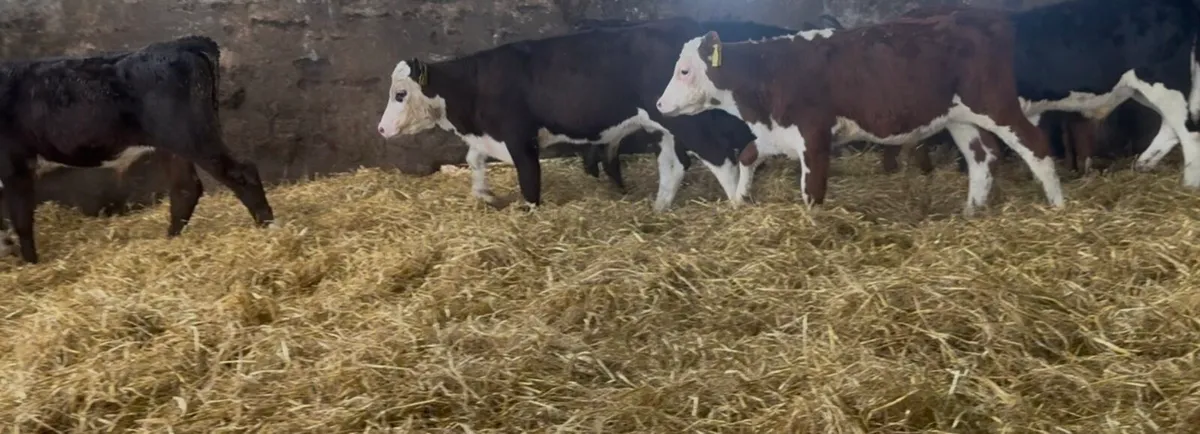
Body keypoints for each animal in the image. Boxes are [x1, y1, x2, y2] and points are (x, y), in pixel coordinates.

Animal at [0, 36, 276, 264]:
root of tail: (184, 43)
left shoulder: (13, 161)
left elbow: (20, 215)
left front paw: (30, 263)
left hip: (191, 134)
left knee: (241, 172)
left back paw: (267, 227)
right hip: (174, 142)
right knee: (186, 187)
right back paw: (170, 240)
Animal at [376, 17, 844, 212]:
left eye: (399, 93)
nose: (380, 129)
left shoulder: (519, 137)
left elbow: (530, 183)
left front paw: (527, 212)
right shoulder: (490, 138)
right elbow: (473, 159)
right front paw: (483, 194)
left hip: (686, 121)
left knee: (723, 160)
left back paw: (734, 206)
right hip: (666, 122)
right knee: (674, 167)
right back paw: (658, 207)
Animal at [654, 7, 1066, 216]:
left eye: (685, 70)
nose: (659, 104)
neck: (769, 72)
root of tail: (986, 19)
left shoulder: (814, 136)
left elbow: (811, 191)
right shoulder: (778, 133)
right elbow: (747, 154)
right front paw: (740, 201)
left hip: (995, 104)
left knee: (1036, 145)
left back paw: (1059, 206)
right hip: (959, 117)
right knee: (983, 156)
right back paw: (971, 211)